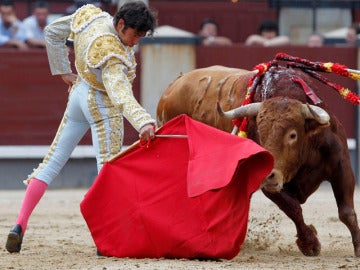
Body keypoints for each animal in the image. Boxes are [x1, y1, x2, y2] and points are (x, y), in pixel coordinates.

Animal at [156, 61, 360, 258]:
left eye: (292, 135)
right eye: (260, 134)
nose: (270, 173)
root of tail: (171, 89)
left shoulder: (341, 166)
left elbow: (346, 212)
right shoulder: (268, 184)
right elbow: (293, 208)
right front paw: (310, 244)